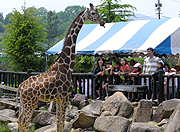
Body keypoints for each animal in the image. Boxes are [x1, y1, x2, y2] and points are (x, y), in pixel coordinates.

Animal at [16, 3, 105, 132]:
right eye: (93, 13)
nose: (102, 22)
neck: (67, 65)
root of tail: (20, 87)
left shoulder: (58, 98)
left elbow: (59, 122)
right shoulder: (64, 96)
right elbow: (61, 123)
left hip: (23, 103)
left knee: (19, 121)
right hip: (31, 102)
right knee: (25, 123)